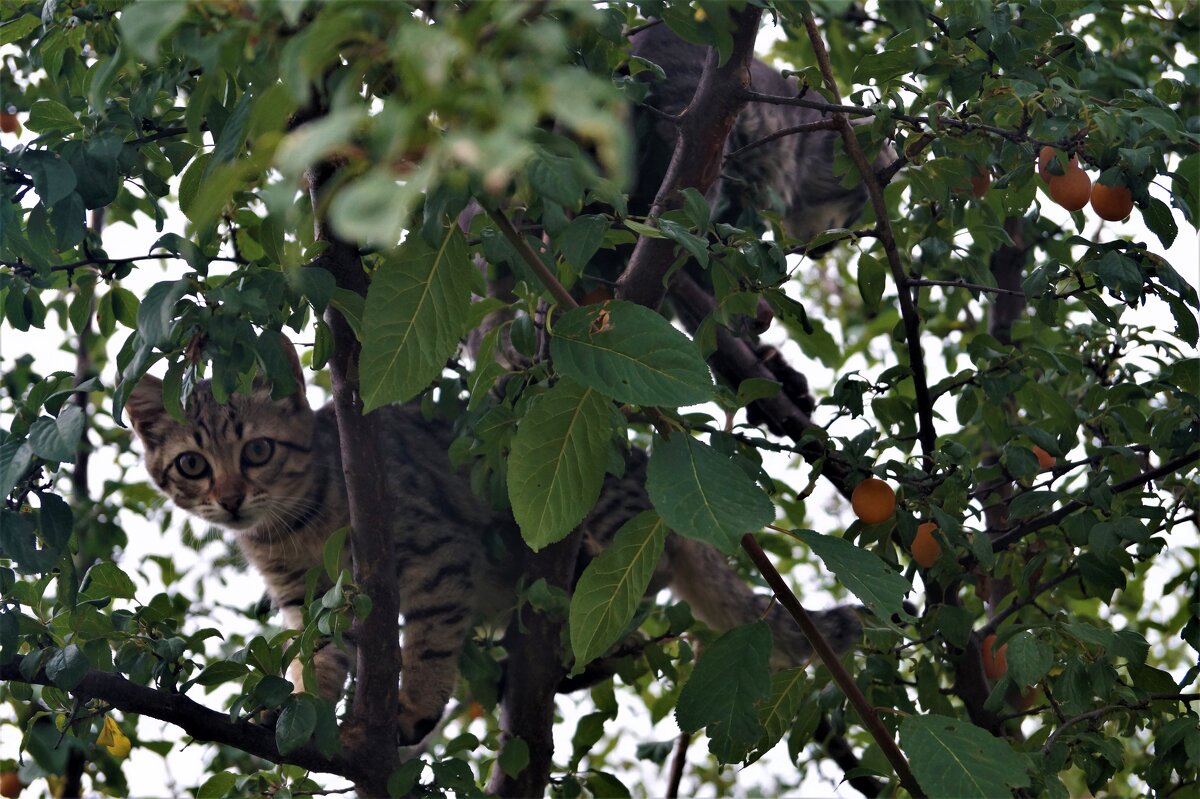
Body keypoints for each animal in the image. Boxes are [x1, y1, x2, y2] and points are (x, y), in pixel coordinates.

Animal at [124, 340, 864, 739]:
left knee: (638, 573)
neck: (295, 528)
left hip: (604, 511)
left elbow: (428, 637)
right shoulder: (304, 598)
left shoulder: (433, 551)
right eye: (192, 464)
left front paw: (415, 704)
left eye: (256, 451)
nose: (229, 498)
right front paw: (300, 707)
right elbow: (317, 657)